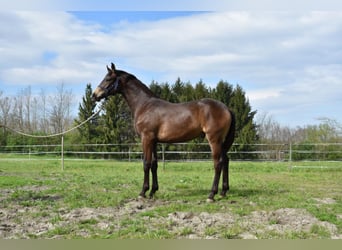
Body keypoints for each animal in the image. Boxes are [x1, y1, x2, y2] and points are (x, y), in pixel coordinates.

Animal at [91, 62, 235, 201]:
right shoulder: (154, 141)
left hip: (214, 140)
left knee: (218, 163)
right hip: (221, 142)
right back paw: (223, 192)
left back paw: (211, 195)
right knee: (226, 161)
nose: (94, 95)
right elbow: (154, 164)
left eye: (108, 78)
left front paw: (143, 192)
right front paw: (152, 191)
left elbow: (146, 164)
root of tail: (226, 108)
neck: (144, 105)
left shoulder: (146, 138)